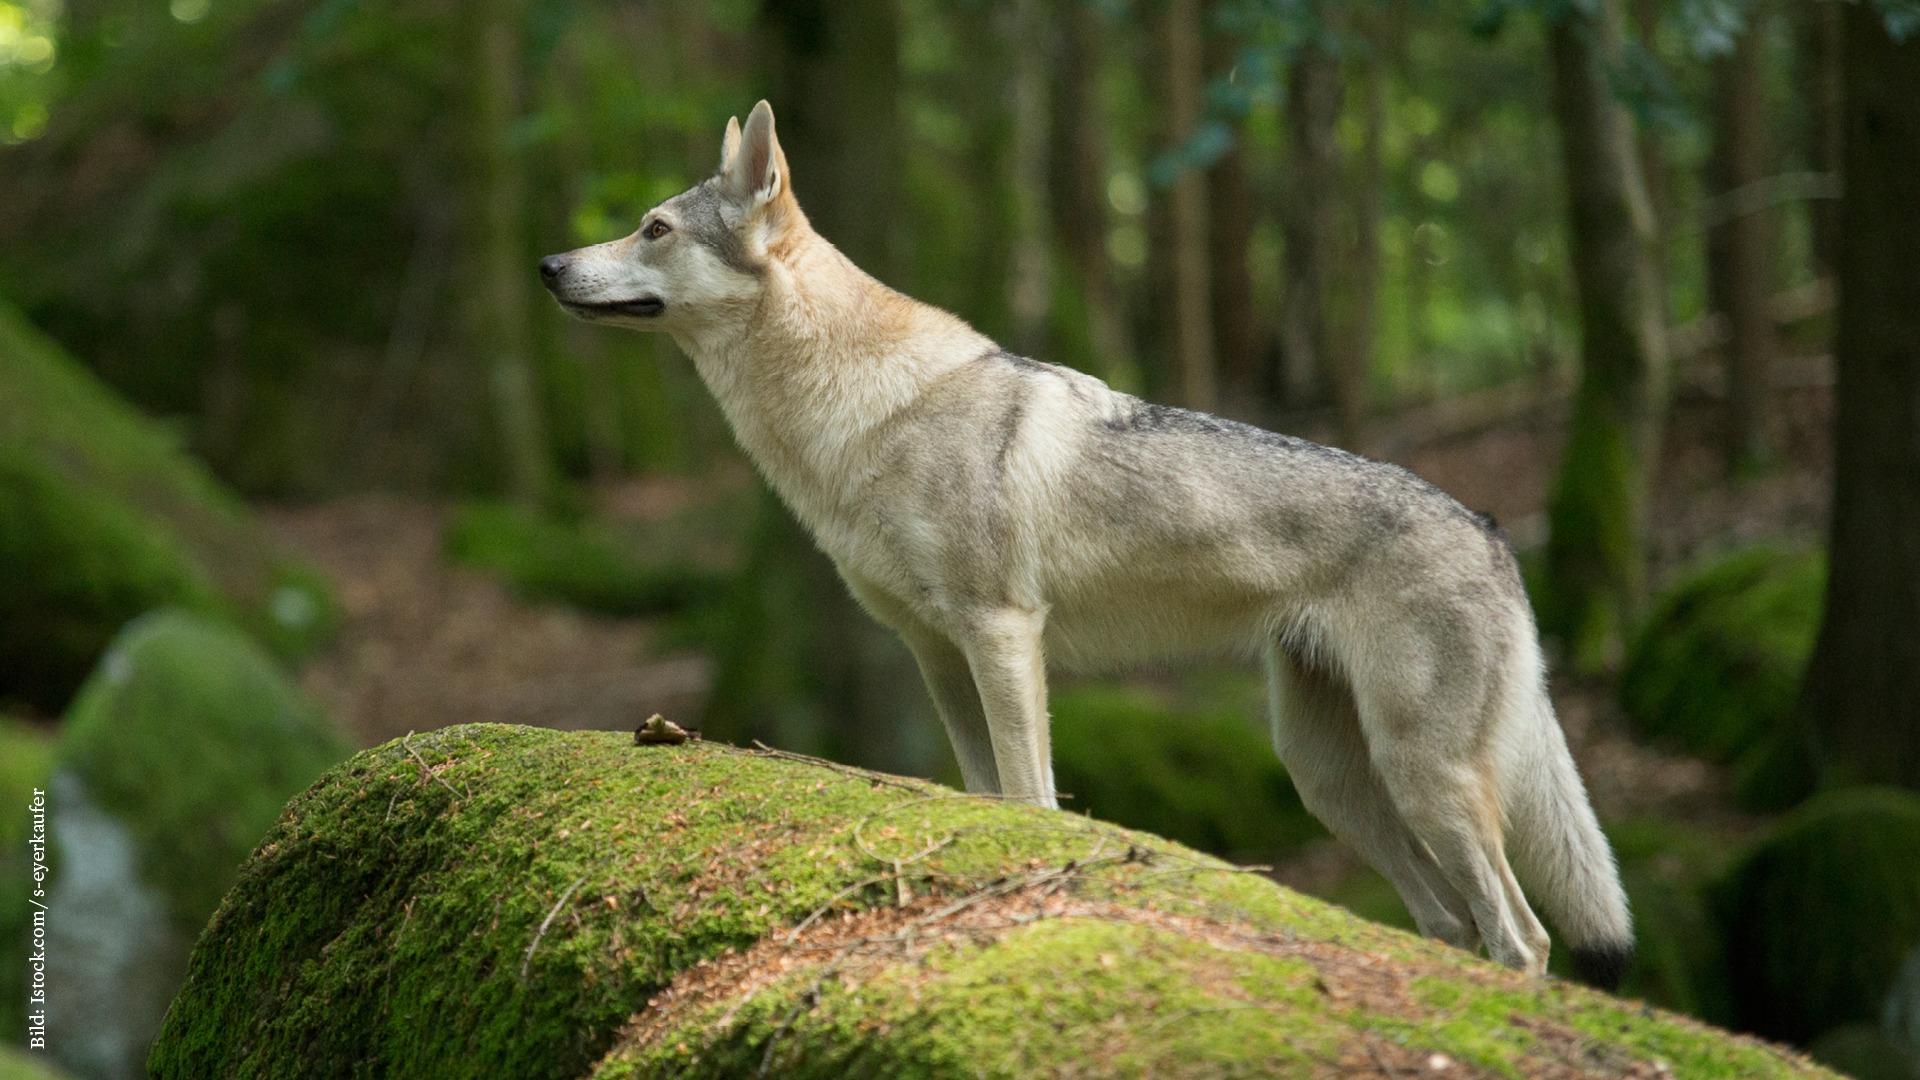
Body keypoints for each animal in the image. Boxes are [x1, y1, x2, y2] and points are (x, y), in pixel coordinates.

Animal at [539, 100, 1634, 989]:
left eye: (653, 227)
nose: (546, 265)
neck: (858, 414)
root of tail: (1494, 534)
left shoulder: (1002, 631)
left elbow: (1033, 799)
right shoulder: (936, 654)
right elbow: (987, 794)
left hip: (1421, 777)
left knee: (1525, 937)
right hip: (1331, 781)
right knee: (1453, 926)